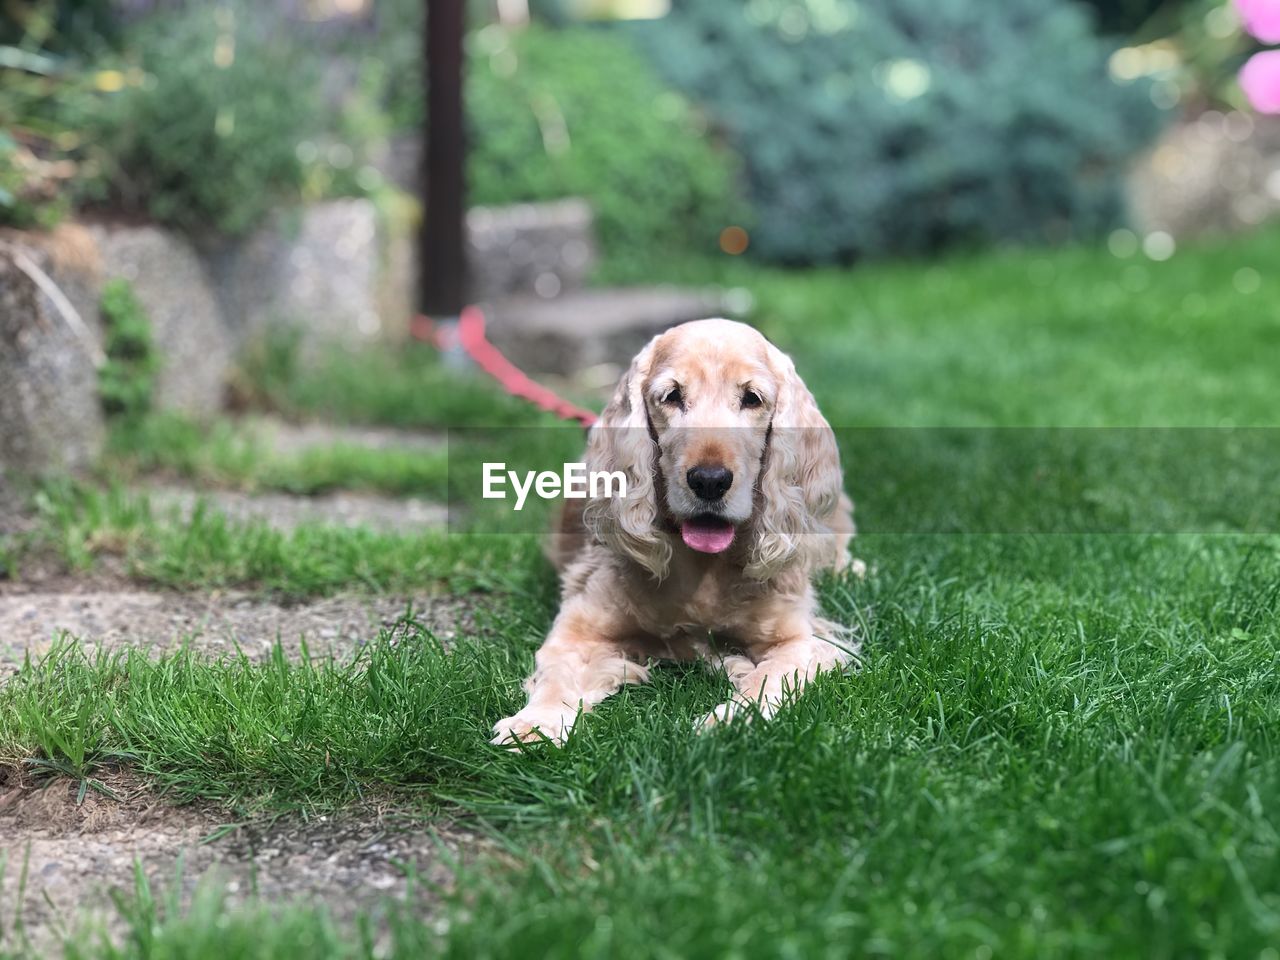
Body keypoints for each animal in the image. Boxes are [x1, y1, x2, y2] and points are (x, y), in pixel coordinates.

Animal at [488, 320, 860, 747]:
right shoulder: (579, 631)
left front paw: (728, 721)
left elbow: (767, 681)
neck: (703, 567)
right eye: (672, 396)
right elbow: (556, 678)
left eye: (753, 398)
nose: (710, 481)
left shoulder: (797, 640)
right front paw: (533, 723)